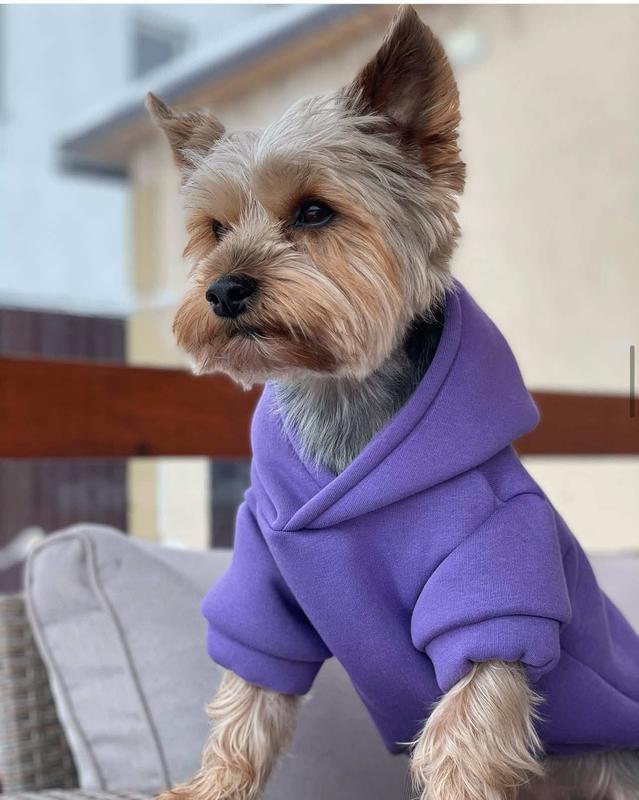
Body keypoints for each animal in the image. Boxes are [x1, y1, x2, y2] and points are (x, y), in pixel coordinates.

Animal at [147, 7, 639, 799]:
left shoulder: (494, 573)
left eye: (315, 212)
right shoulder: (262, 567)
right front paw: (213, 785)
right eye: (214, 230)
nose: (222, 290)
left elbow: (463, 720)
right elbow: (248, 690)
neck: (345, 403)